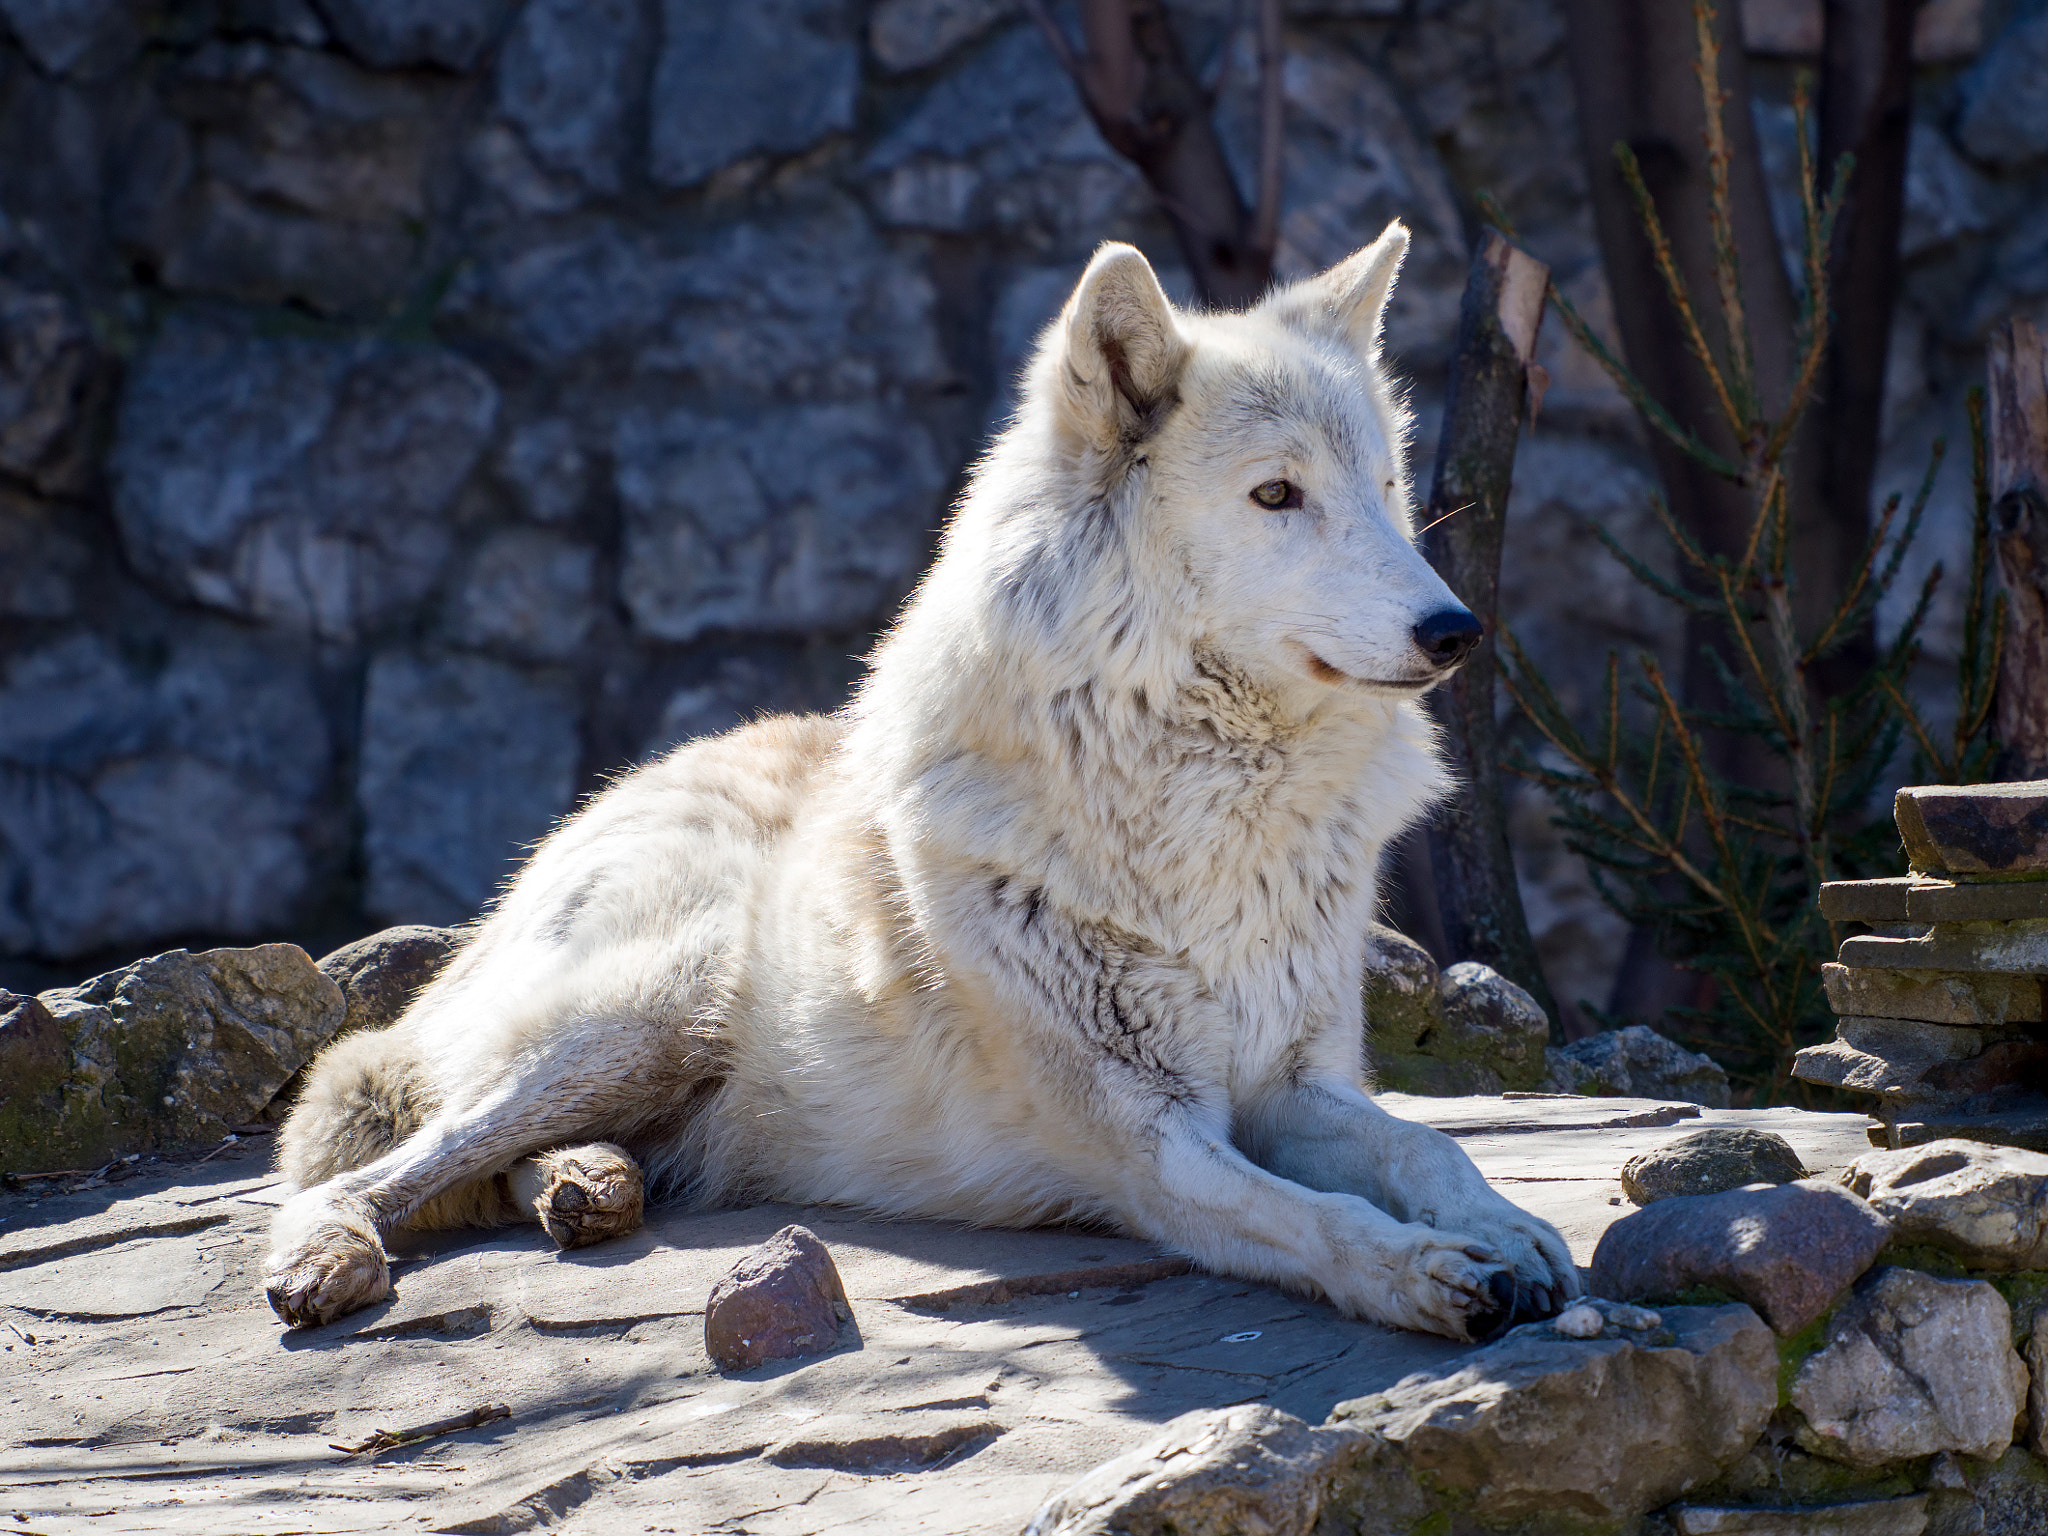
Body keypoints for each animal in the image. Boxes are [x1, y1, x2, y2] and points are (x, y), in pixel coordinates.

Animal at [265, 221, 1579, 1342]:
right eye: (1275, 495)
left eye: (1384, 492)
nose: (1455, 630)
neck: (1205, 821)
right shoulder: (1147, 1142)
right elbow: (1313, 1217)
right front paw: (1427, 1272)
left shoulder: (1293, 1084)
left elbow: (1426, 1152)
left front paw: (1511, 1231)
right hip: (647, 1010)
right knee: (375, 1163)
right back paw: (341, 1251)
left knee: (500, 1160)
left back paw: (587, 1187)